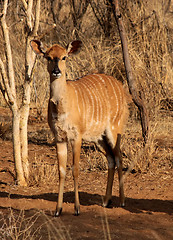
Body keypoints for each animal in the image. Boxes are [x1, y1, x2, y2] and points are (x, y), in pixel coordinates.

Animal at [30, 39, 128, 216]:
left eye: (64, 57)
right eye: (48, 57)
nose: (56, 71)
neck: (62, 107)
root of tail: (121, 88)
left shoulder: (76, 136)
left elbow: (75, 169)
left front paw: (77, 208)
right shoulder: (59, 137)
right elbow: (61, 170)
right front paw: (58, 210)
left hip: (114, 130)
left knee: (119, 157)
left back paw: (122, 201)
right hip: (99, 138)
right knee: (111, 159)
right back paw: (106, 201)